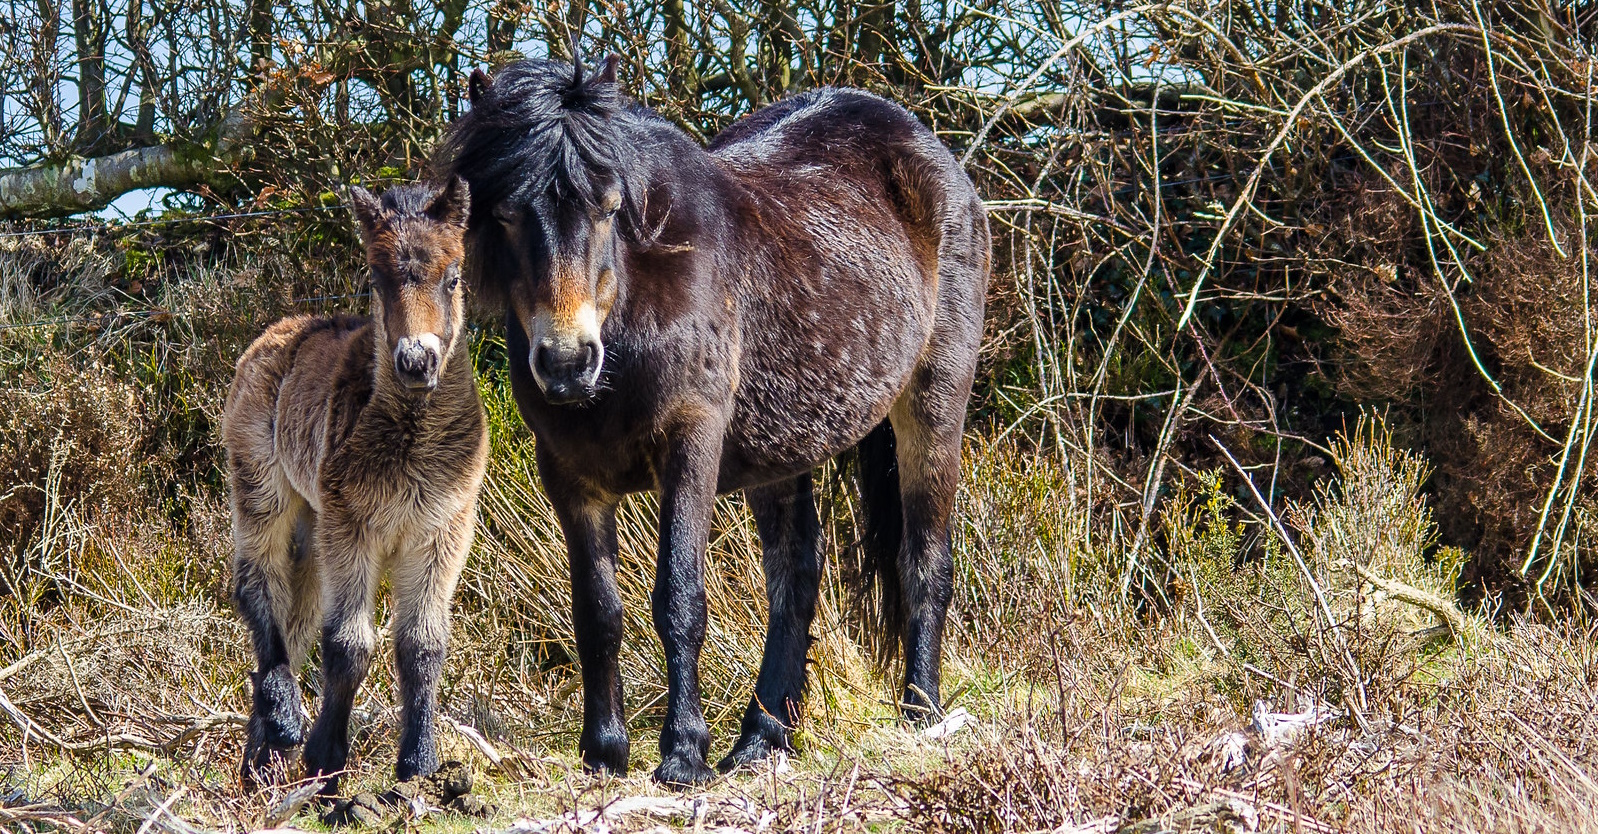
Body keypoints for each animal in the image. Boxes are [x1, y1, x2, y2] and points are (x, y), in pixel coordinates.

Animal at [441, 55, 984, 782]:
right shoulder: (569, 475)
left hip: (933, 406)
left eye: (608, 207)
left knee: (925, 556)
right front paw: (604, 750)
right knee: (796, 575)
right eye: (504, 215)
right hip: (784, 445)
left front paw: (682, 753)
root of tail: (922, 145)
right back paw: (761, 737)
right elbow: (597, 611)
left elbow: (678, 598)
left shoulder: (689, 445)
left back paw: (921, 712)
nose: (566, 362)